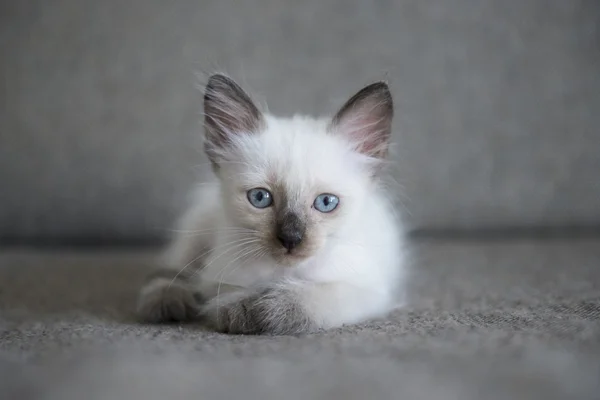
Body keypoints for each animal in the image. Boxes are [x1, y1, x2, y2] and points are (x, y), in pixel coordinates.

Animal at [137, 74, 408, 334]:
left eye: (326, 202)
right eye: (260, 198)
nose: (290, 239)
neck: (283, 272)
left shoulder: (366, 291)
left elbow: (308, 298)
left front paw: (259, 309)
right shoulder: (220, 275)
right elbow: (222, 292)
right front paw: (237, 309)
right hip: (196, 235)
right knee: (172, 270)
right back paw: (166, 302)